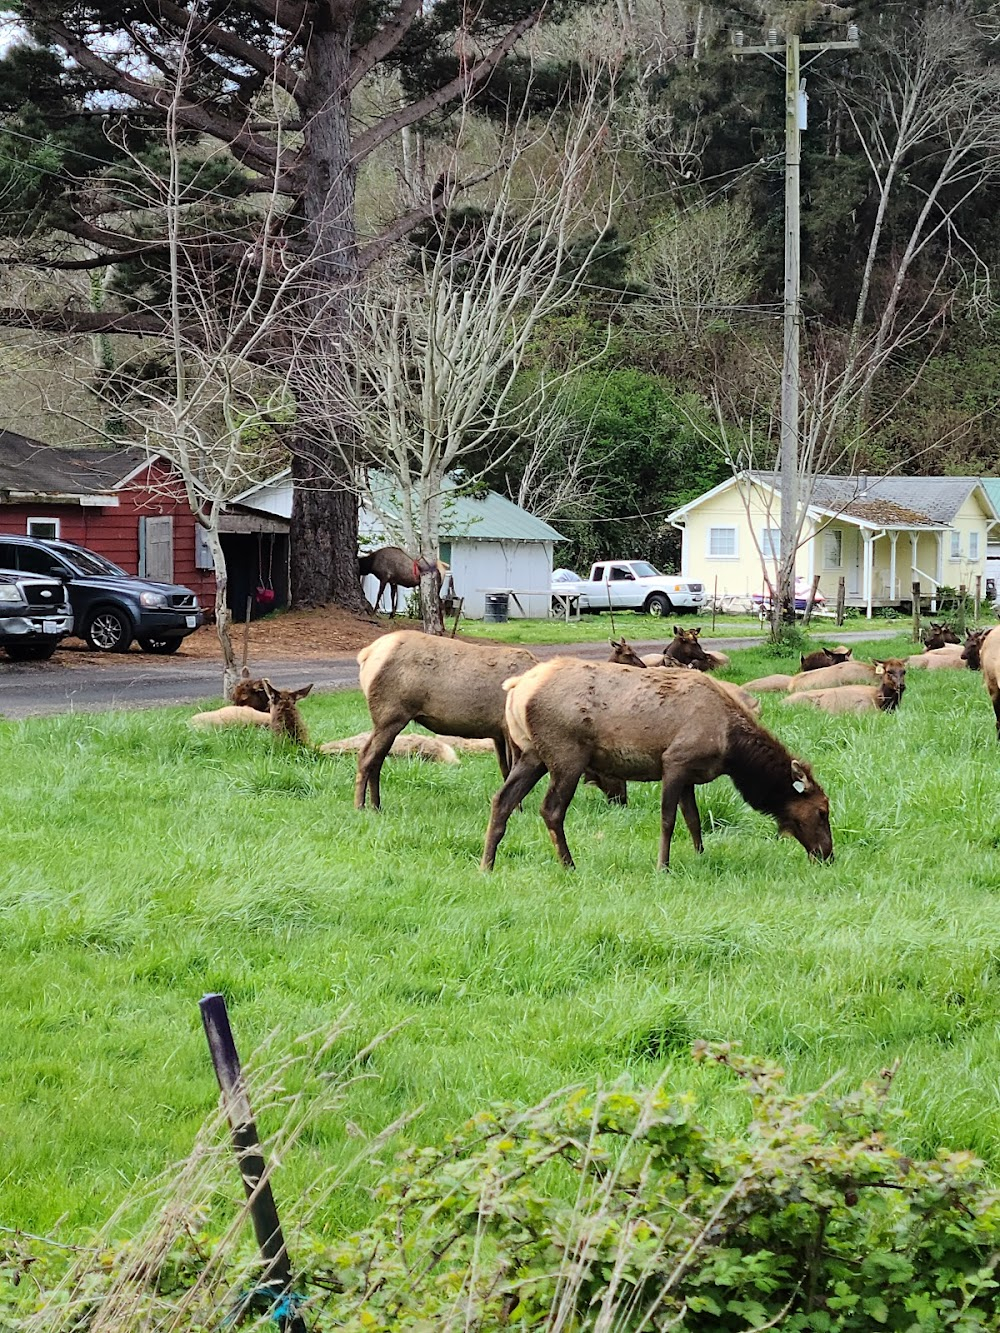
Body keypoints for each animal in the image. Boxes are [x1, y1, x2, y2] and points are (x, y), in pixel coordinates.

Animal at [482, 658, 832, 869]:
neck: (731, 750)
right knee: (551, 809)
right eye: (822, 811)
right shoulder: (674, 761)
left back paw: (487, 864)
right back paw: (569, 865)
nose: (828, 854)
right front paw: (663, 865)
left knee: (502, 799)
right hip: (566, 754)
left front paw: (700, 855)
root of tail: (517, 688)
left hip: (532, 754)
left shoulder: (691, 774)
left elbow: (693, 819)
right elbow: (668, 820)